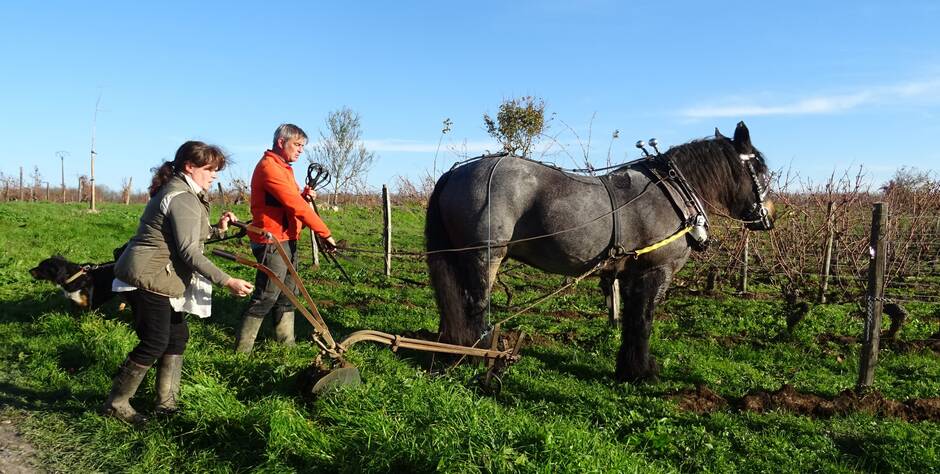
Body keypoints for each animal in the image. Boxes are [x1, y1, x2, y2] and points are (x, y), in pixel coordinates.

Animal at [424, 121, 772, 382]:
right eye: (759, 168)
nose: (769, 215)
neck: (673, 193)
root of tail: (454, 173)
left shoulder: (630, 273)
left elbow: (631, 319)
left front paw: (628, 367)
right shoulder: (656, 271)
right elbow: (644, 320)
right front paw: (642, 373)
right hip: (484, 256)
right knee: (477, 306)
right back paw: (477, 354)